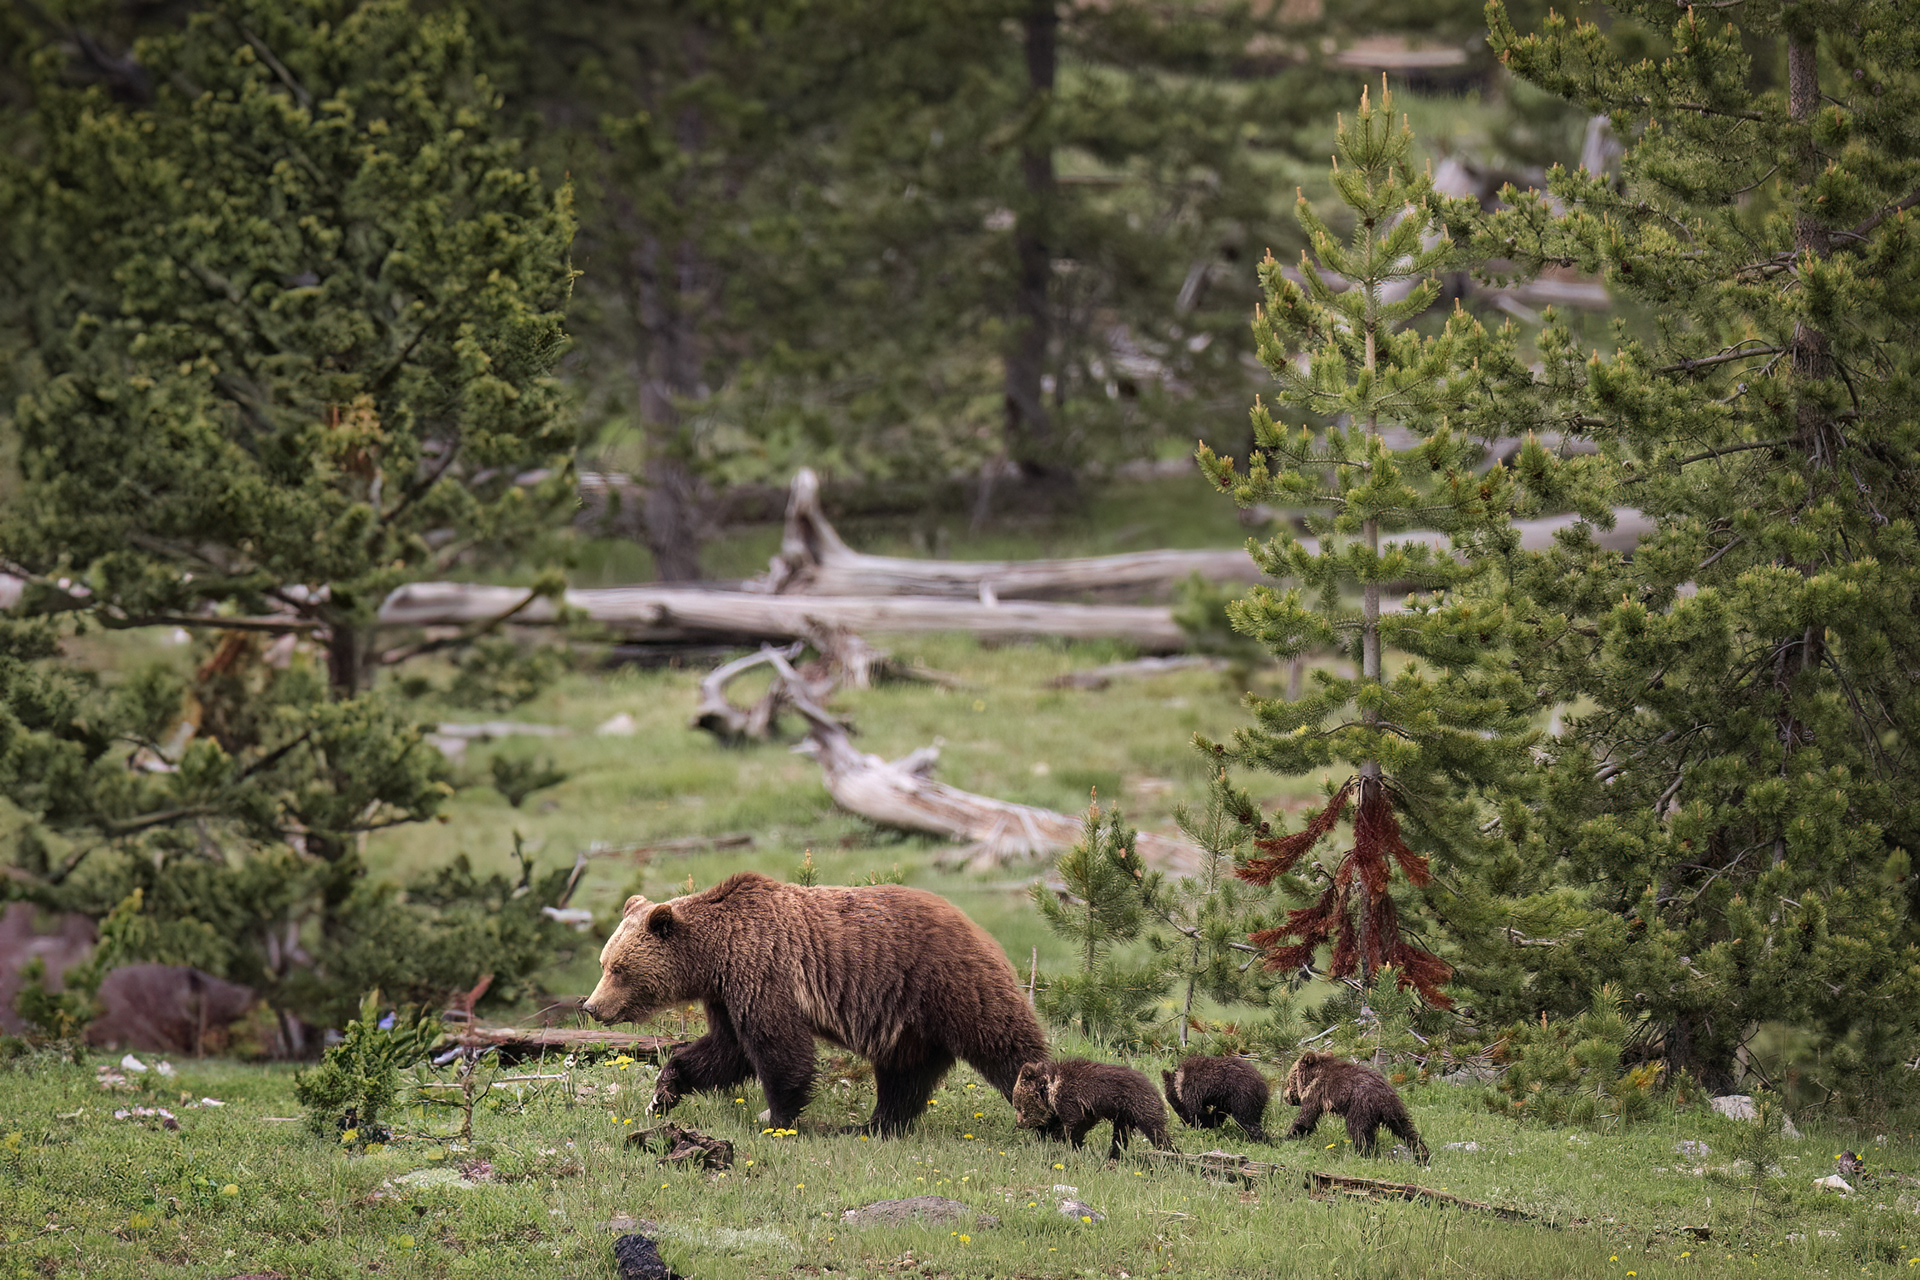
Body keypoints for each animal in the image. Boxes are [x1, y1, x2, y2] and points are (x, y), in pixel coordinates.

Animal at [581, 871, 1049, 1135]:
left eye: (618, 969)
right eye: (604, 963)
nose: (591, 1006)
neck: (714, 956)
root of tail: (976, 926)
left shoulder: (764, 972)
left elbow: (779, 1049)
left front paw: (777, 1118)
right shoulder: (727, 994)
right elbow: (725, 1051)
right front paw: (664, 1092)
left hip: (948, 983)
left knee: (1006, 1046)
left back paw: (1046, 1115)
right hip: (909, 1023)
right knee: (903, 1075)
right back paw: (871, 1125)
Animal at [1011, 1058, 1171, 1160]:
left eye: (1019, 1107)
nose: (1019, 1124)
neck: (1051, 1086)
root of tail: (1153, 1086)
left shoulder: (1069, 1098)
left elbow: (1074, 1123)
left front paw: (1065, 1141)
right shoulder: (1086, 1109)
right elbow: (1082, 1124)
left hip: (1138, 1104)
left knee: (1155, 1129)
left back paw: (1168, 1150)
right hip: (1124, 1115)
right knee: (1120, 1135)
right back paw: (1114, 1156)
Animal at [1281, 1050, 1429, 1164]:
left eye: (1288, 1081)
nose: (1285, 1098)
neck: (1312, 1077)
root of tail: (1383, 1096)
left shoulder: (1316, 1093)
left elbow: (1306, 1119)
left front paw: (1286, 1137)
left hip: (1360, 1106)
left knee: (1358, 1131)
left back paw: (1364, 1154)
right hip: (1396, 1110)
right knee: (1407, 1130)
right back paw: (1422, 1155)